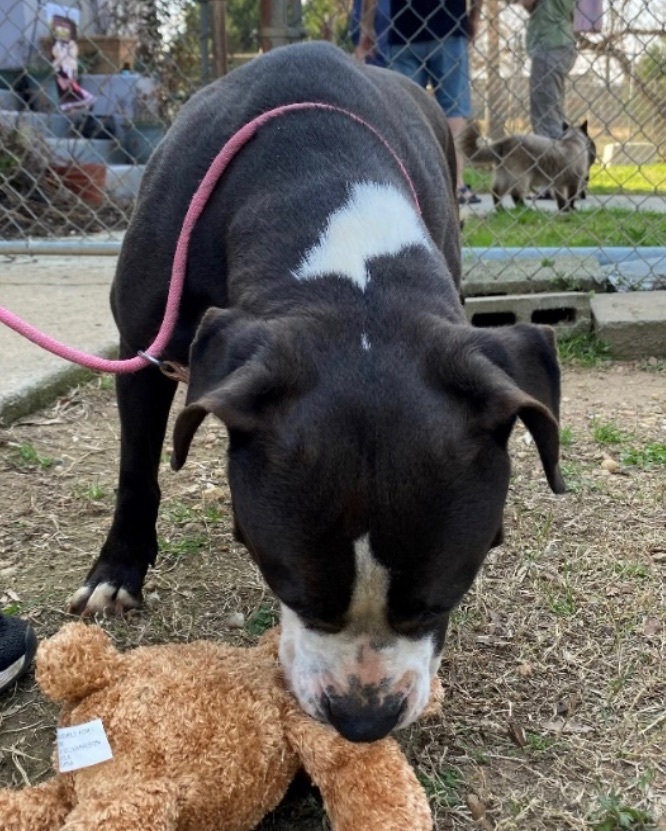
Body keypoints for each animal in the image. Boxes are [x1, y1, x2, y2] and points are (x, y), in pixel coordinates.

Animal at [71, 42, 560, 744]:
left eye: (443, 598)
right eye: (292, 588)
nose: (363, 720)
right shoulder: (141, 343)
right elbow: (137, 469)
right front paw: (116, 572)